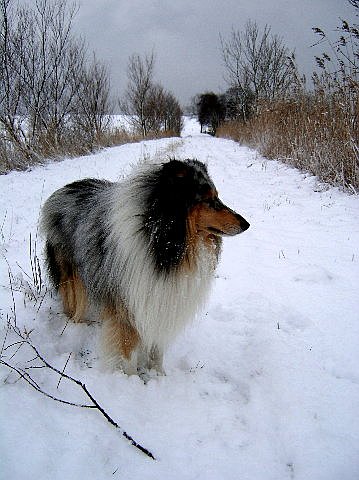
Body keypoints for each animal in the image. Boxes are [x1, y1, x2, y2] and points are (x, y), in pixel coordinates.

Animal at [41, 159, 250, 376]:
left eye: (217, 196)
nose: (246, 224)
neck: (162, 244)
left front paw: (159, 376)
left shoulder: (158, 300)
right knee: (74, 307)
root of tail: (61, 190)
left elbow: (157, 349)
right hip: (73, 279)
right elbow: (128, 354)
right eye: (209, 200)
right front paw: (131, 380)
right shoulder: (128, 308)